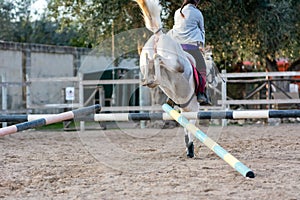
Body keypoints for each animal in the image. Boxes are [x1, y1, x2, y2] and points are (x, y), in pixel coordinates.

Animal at [136, 0, 204, 158]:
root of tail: (159, 34)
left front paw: (189, 149)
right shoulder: (192, 111)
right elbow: (189, 129)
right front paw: (190, 149)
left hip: (146, 59)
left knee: (150, 62)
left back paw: (148, 79)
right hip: (177, 64)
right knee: (158, 58)